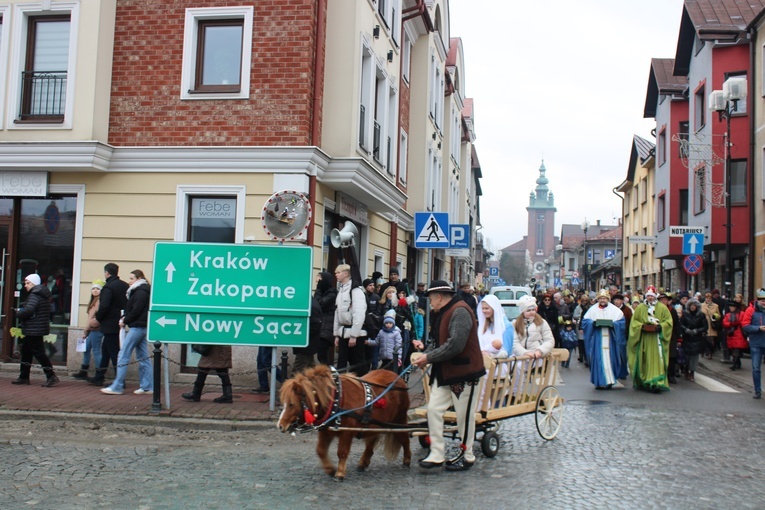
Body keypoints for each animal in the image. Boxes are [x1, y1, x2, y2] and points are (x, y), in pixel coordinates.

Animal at [278, 364, 412, 480]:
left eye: (291, 404)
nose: (280, 425)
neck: (336, 400)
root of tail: (399, 379)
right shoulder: (326, 431)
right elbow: (320, 450)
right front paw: (330, 469)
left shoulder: (346, 432)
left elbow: (342, 452)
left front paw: (340, 473)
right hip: (377, 424)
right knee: (372, 441)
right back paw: (363, 462)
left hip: (399, 419)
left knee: (404, 437)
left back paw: (407, 459)